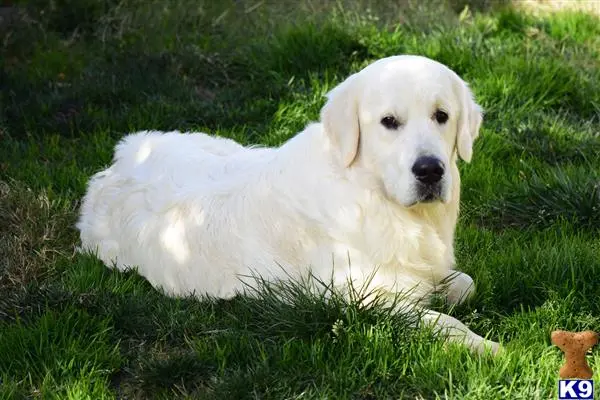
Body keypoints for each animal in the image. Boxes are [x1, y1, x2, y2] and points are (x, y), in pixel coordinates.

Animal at [79, 54, 502, 354]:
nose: (430, 170)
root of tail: (113, 167)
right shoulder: (361, 296)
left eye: (441, 116)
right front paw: (490, 348)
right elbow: (441, 321)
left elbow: (466, 283)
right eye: (388, 122)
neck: (370, 193)